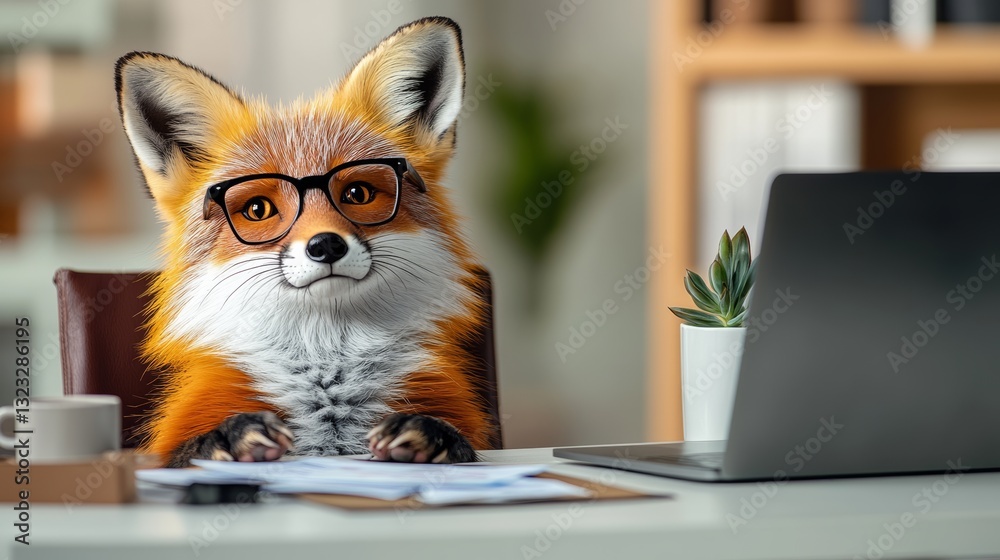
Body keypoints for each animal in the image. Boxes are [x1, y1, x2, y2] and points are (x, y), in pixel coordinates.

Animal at [115, 17, 497, 467]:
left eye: (358, 194)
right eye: (258, 209)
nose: (326, 245)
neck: (326, 370)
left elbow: (461, 444)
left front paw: (431, 434)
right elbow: (189, 451)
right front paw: (229, 436)